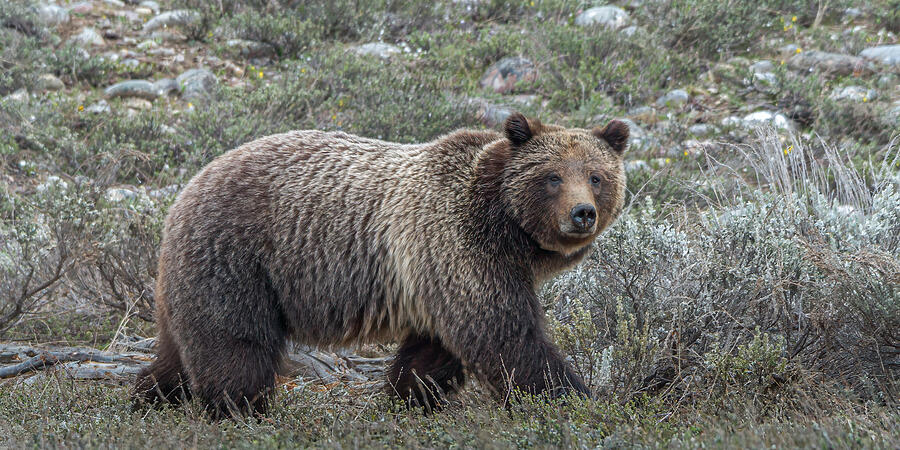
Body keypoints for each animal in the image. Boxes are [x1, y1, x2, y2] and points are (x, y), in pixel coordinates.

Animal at [135, 113, 624, 418]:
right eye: (553, 177)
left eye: (596, 177)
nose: (582, 213)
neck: (506, 226)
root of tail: (187, 189)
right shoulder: (457, 242)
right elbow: (506, 337)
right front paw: (572, 400)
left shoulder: (440, 273)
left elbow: (435, 350)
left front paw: (406, 400)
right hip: (237, 259)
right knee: (235, 348)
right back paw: (241, 412)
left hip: (191, 277)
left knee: (179, 351)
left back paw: (149, 397)